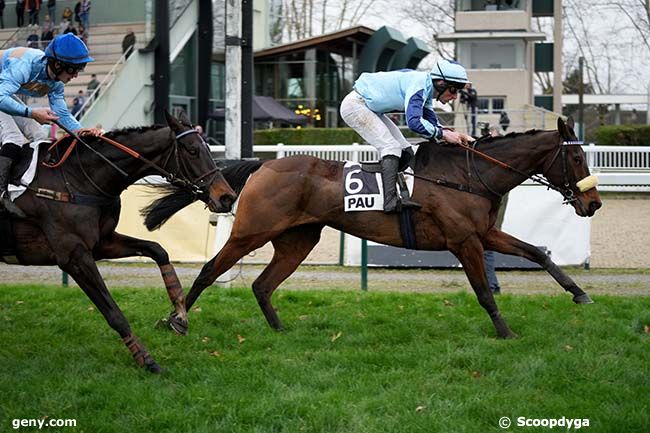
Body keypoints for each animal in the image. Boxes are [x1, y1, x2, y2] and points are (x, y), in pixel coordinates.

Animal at [0, 111, 238, 372]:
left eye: (208, 148)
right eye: (193, 150)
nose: (227, 197)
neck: (76, 180)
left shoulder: (102, 243)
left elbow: (158, 250)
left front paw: (179, 313)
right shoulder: (74, 256)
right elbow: (114, 313)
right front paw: (146, 360)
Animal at [144, 117, 600, 338]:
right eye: (577, 159)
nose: (593, 202)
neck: (469, 174)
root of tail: (263, 164)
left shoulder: (485, 234)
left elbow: (537, 252)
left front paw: (579, 294)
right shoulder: (464, 240)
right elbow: (484, 291)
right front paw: (505, 331)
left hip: (298, 239)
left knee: (262, 284)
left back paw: (279, 330)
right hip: (250, 232)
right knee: (209, 271)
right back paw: (175, 320)